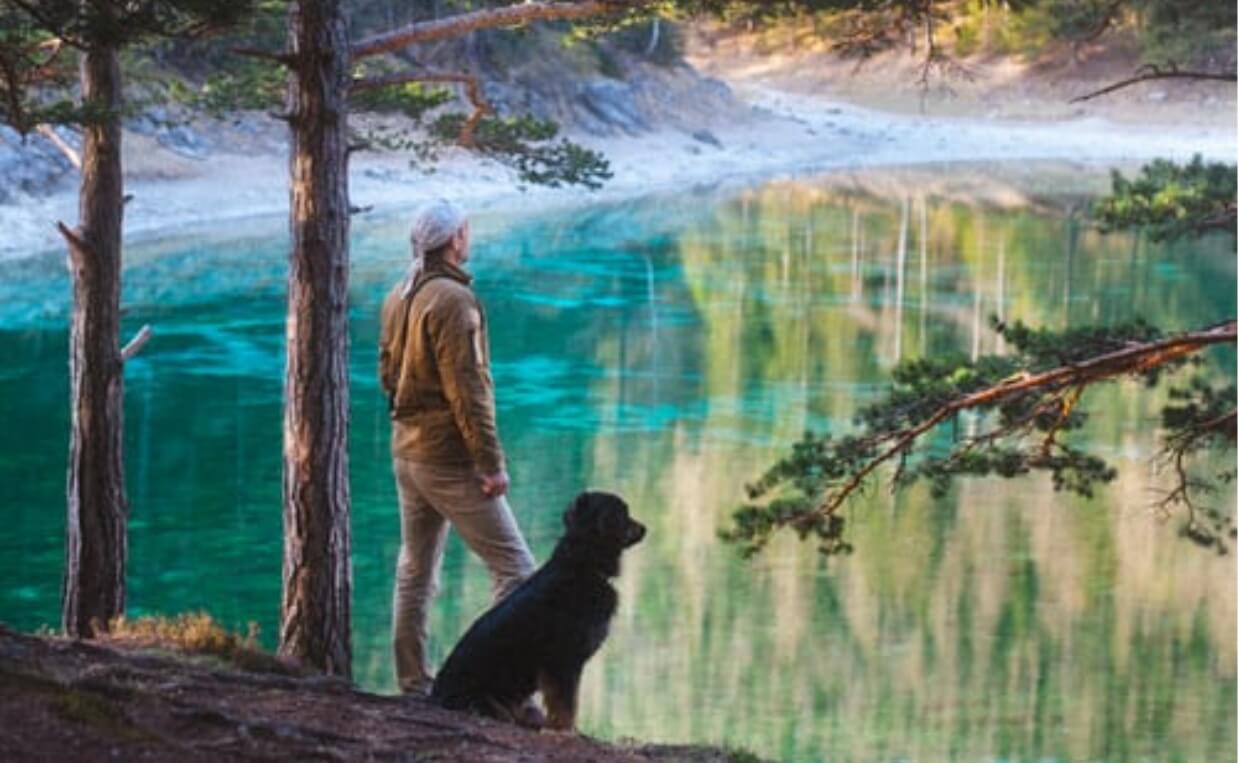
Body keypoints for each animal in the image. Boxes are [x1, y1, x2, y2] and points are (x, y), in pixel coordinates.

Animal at [428, 492, 643, 728]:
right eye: (623, 513)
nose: (645, 529)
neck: (582, 564)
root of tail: (435, 696)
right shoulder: (562, 660)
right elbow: (565, 704)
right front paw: (564, 730)